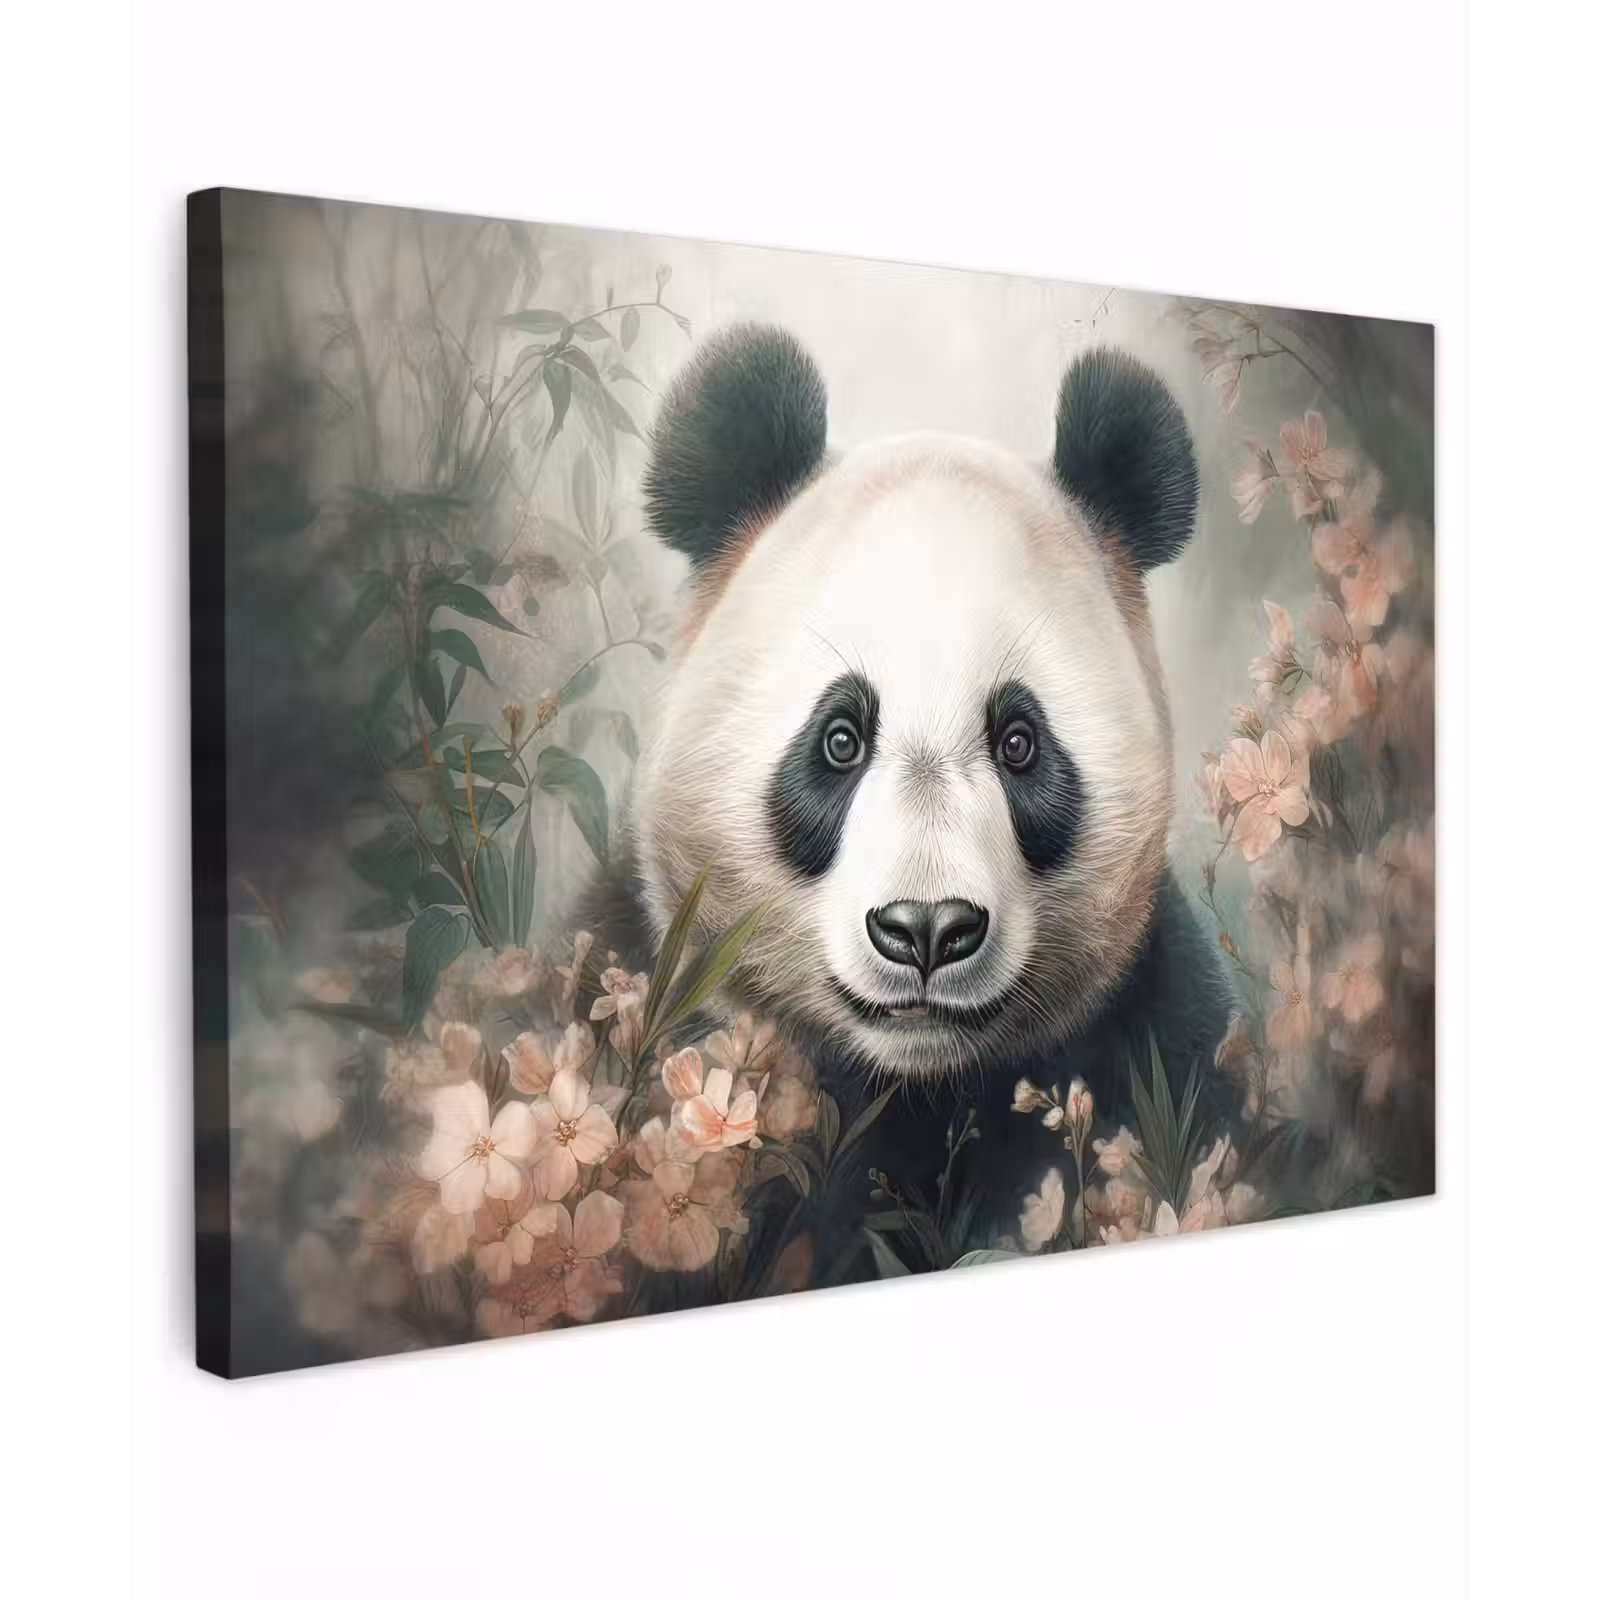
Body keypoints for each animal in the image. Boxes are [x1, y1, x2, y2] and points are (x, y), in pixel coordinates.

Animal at [579, 322, 1238, 1286]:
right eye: (840, 739)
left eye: (1019, 742)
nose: (926, 930)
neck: (912, 1084)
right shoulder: (644, 967)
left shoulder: (1155, 1029)